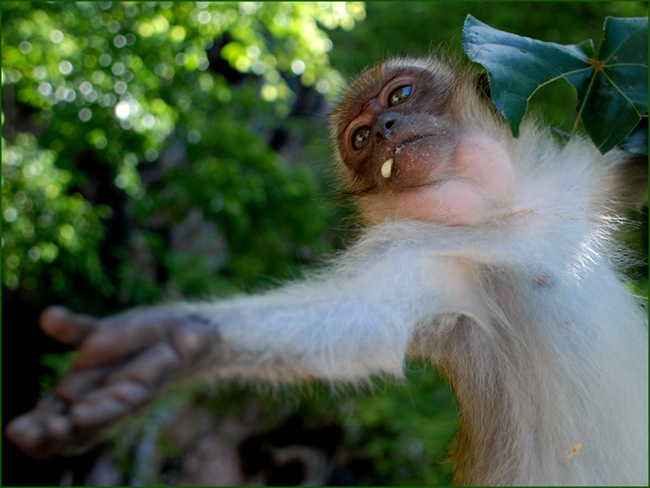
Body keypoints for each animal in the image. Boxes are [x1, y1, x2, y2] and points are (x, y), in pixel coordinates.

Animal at [5, 55, 648, 486]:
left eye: (400, 95)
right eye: (360, 139)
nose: (384, 130)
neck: (503, 215)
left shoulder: (574, 178)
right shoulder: (413, 252)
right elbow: (363, 318)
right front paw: (173, 341)